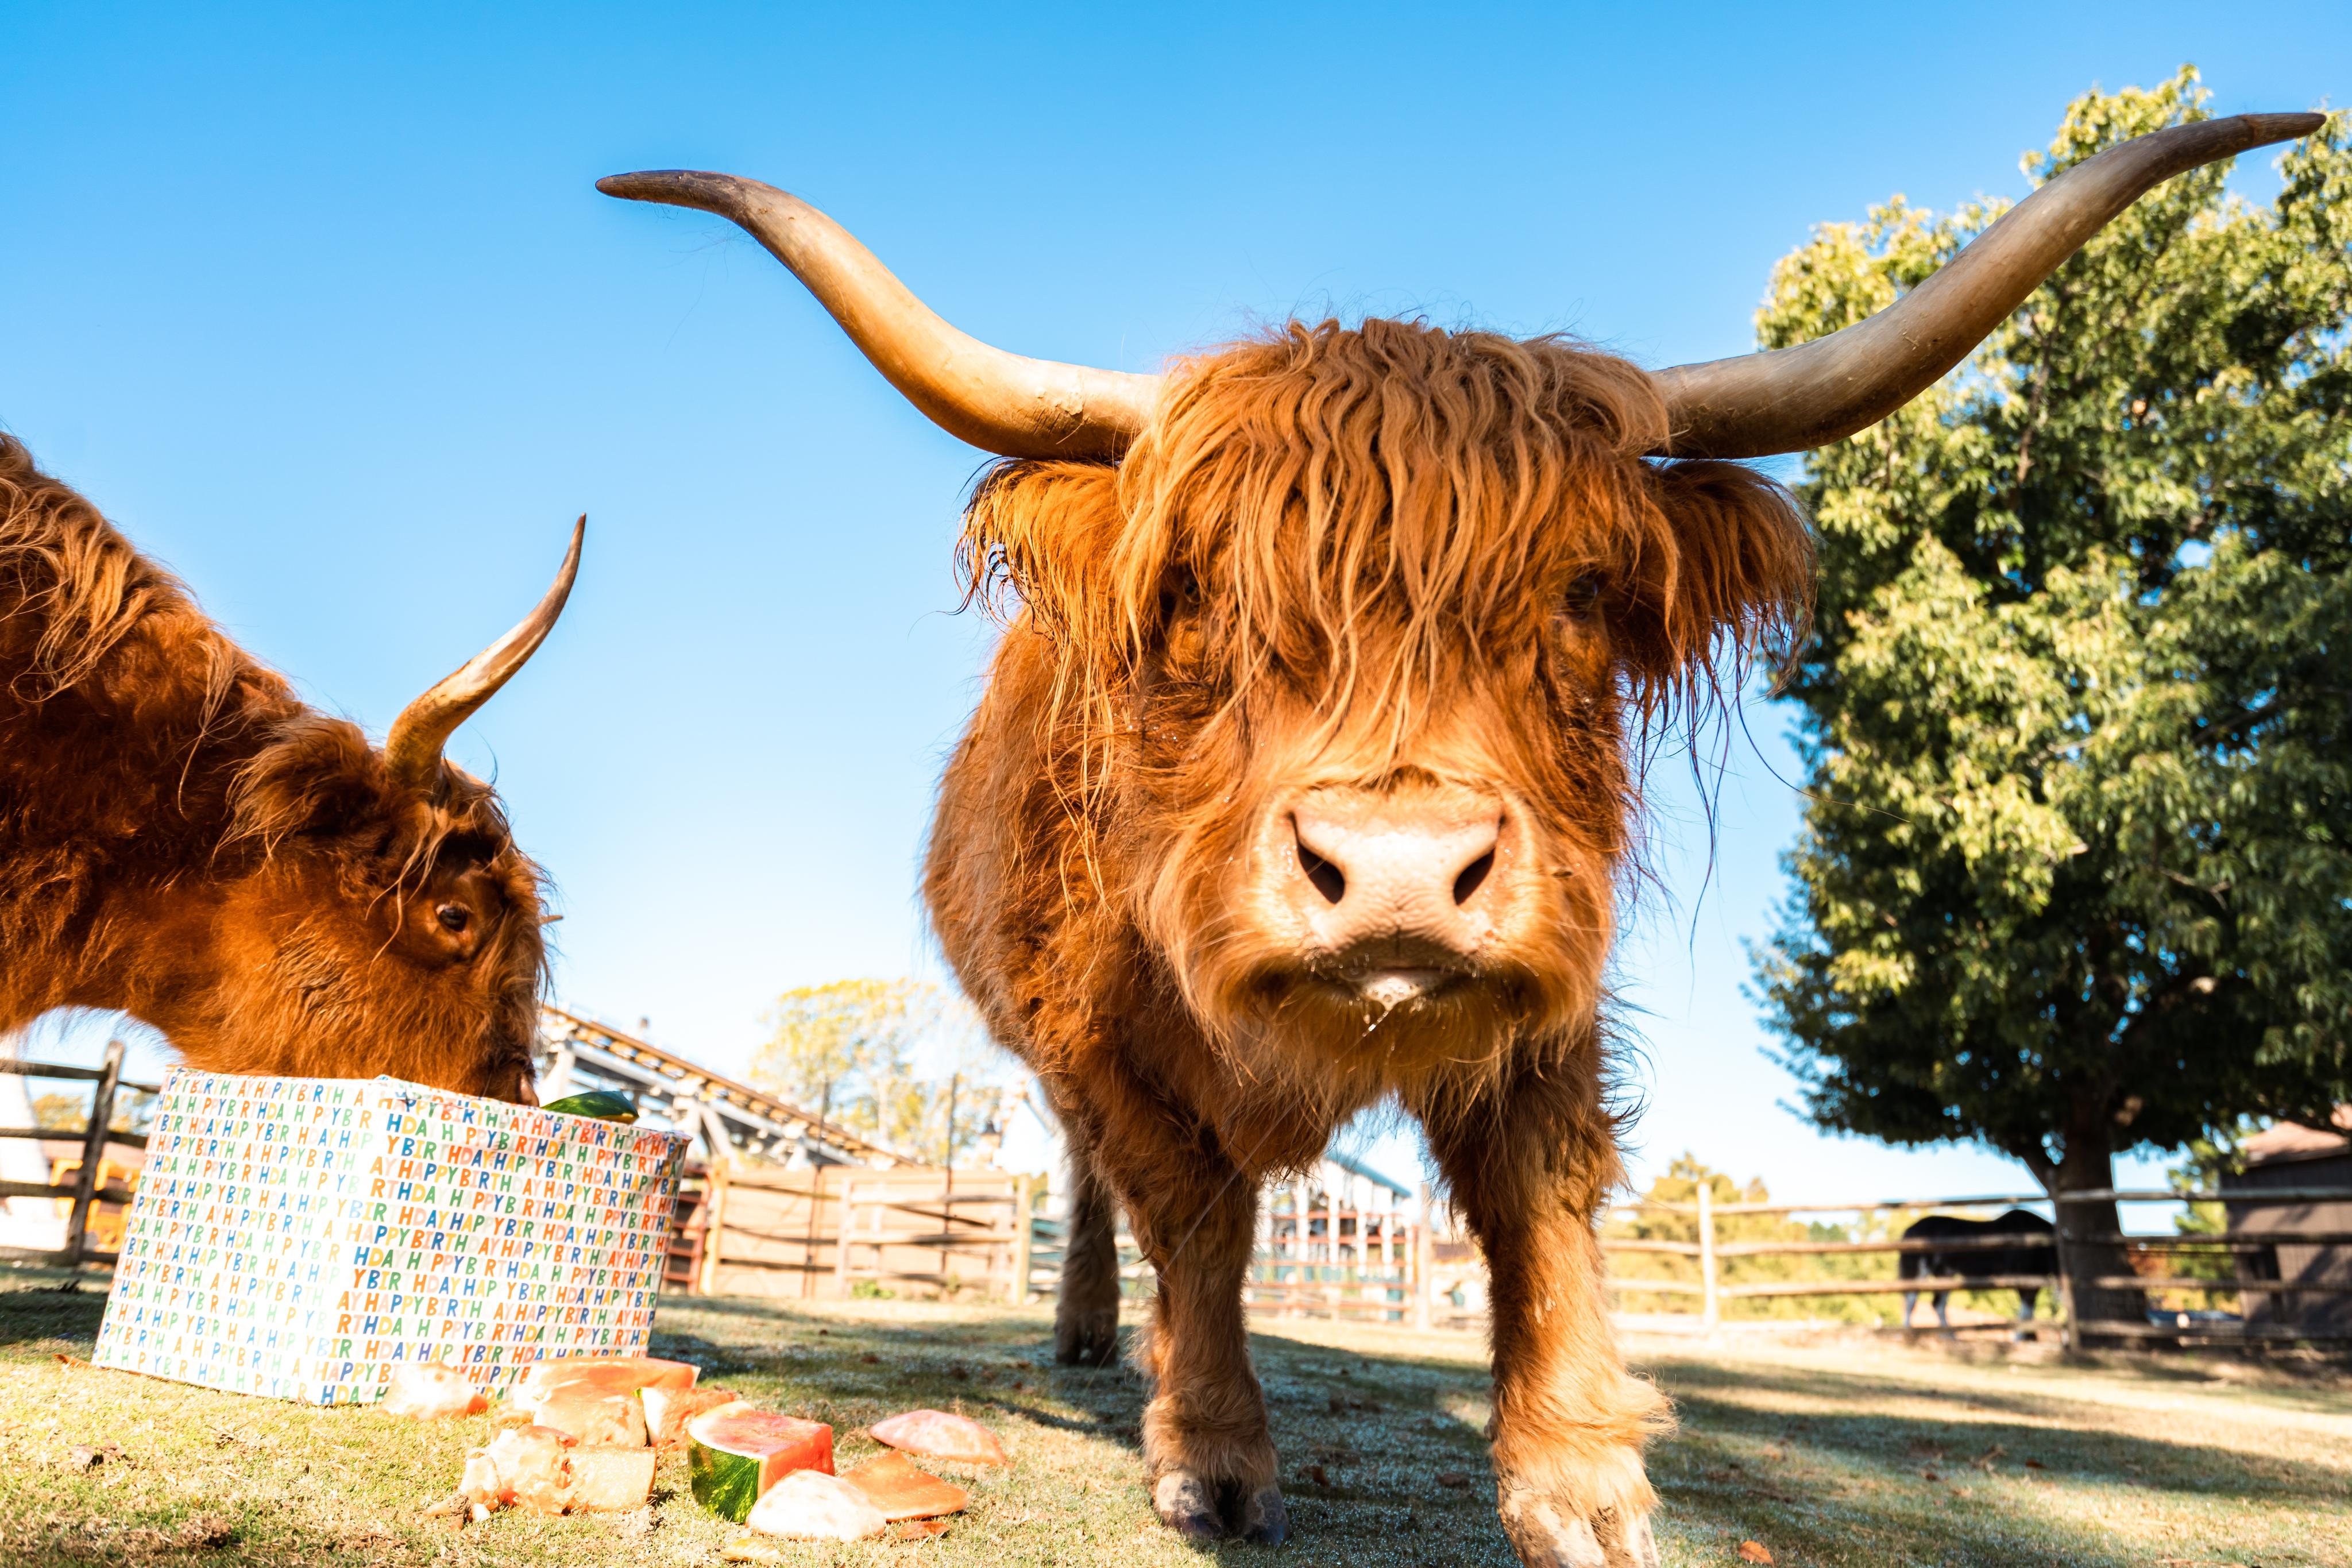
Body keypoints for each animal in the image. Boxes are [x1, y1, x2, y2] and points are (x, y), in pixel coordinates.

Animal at [602, 113, 2314, 1568]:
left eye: (1579, 598)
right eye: (1196, 596)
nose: (1399, 876)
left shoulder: (1549, 987)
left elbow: (1535, 1200)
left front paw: (1580, 1483)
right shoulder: (1097, 1035)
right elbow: (1193, 1210)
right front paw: (1211, 1456)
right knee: (1094, 1188)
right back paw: (1089, 1334)